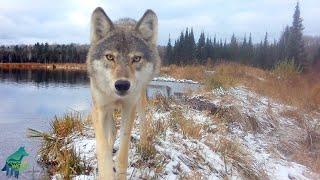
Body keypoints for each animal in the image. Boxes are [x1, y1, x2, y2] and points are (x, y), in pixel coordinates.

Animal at [86, 6, 160, 179]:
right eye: (110, 57)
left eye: (136, 58)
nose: (122, 85)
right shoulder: (98, 109)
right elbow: (102, 148)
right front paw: (106, 172)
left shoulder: (128, 108)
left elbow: (123, 153)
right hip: (108, 110)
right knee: (112, 131)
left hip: (140, 101)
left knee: (144, 121)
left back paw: (143, 145)